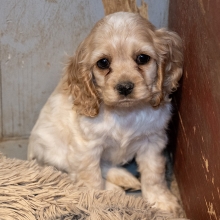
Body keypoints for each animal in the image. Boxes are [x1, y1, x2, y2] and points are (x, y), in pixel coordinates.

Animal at [28, 11, 184, 215]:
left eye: (143, 58)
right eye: (103, 63)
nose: (125, 87)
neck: (124, 112)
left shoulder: (152, 141)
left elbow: (154, 174)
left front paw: (161, 200)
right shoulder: (87, 147)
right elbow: (90, 176)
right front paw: (96, 201)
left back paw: (124, 179)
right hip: (55, 153)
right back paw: (113, 189)